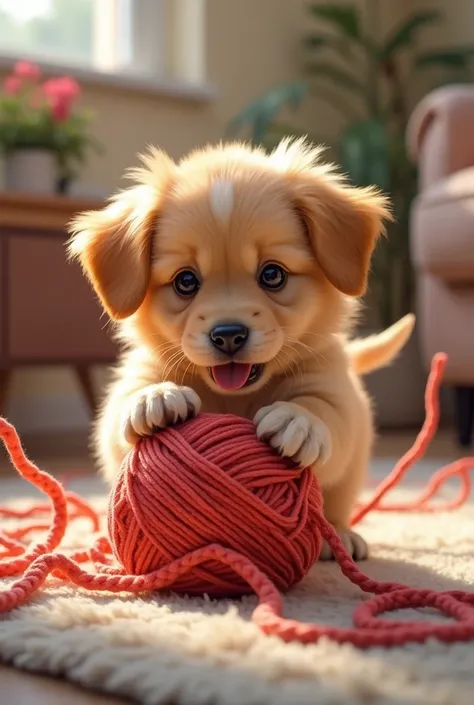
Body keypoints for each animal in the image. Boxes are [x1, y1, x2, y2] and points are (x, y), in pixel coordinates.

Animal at [68, 136, 412, 556]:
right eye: (185, 281)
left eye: (273, 274)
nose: (228, 334)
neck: (234, 397)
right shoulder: (134, 383)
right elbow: (124, 408)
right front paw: (156, 399)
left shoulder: (333, 392)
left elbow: (321, 410)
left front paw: (298, 420)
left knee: (337, 503)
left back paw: (341, 534)